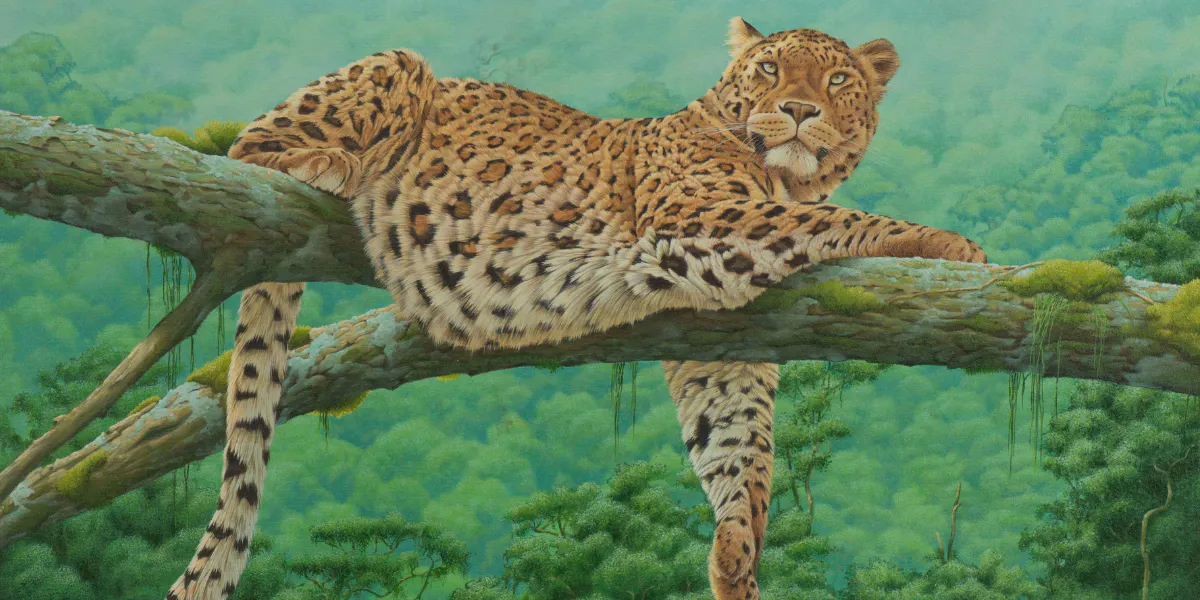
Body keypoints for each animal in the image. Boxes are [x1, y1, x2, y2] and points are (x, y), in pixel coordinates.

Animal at [167, 17, 986, 600]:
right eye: (769, 69)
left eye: (839, 77)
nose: (798, 108)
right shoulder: (701, 216)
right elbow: (838, 218)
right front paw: (951, 244)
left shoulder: (719, 334)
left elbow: (738, 443)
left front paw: (736, 554)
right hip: (396, 66)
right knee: (247, 145)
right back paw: (326, 162)